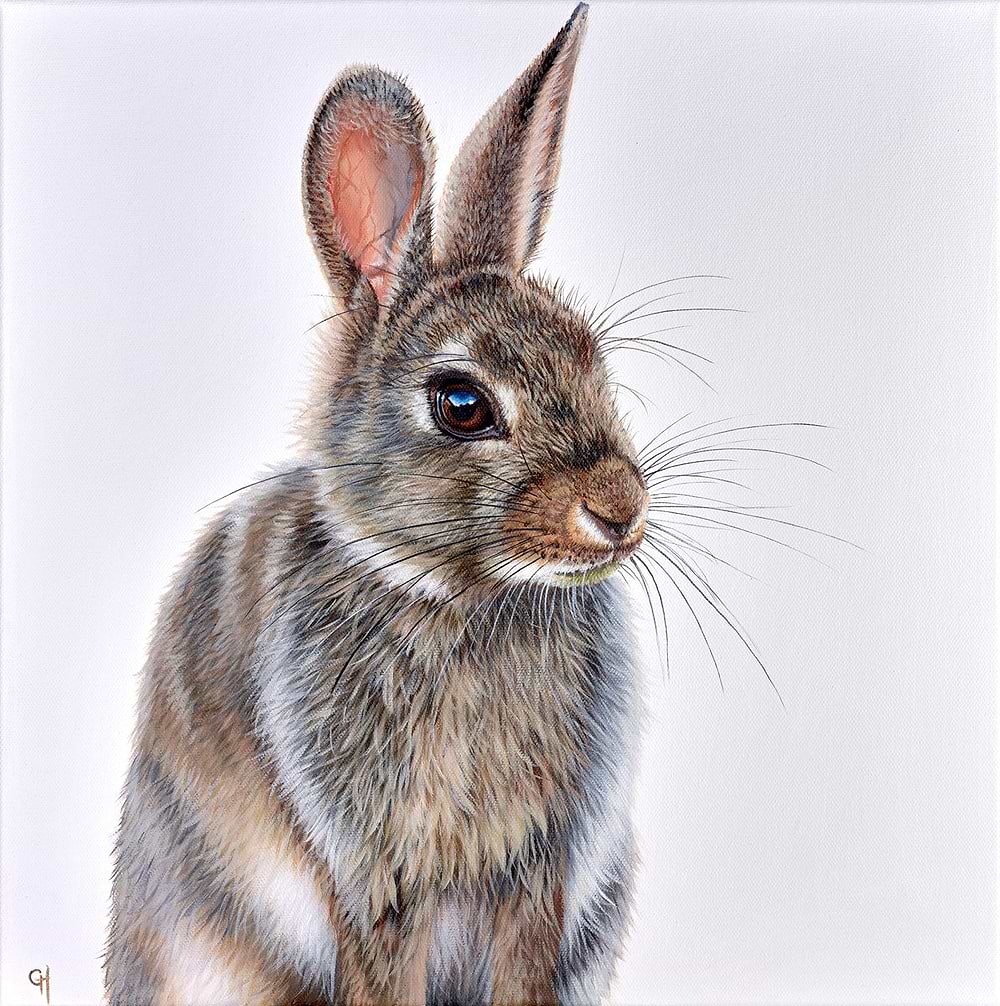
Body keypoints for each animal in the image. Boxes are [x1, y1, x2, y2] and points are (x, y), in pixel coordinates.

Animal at [105, 4, 647, 1004]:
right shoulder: (375, 869)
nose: (620, 510)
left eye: (592, 357)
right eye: (461, 405)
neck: (462, 599)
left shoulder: (538, 873)